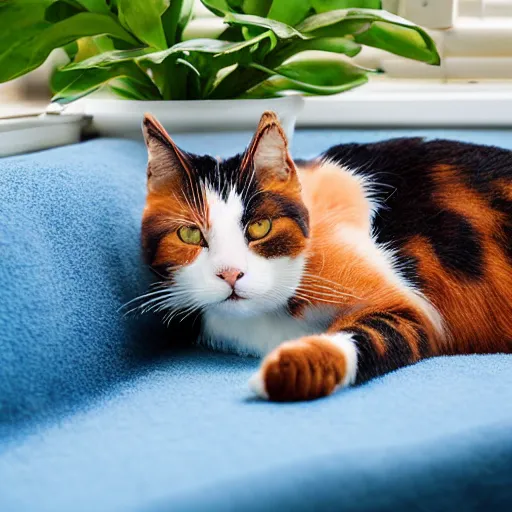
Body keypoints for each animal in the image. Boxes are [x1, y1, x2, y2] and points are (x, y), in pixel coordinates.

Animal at [139, 110, 512, 402]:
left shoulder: (412, 309)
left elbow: (366, 336)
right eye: (189, 234)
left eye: (260, 226)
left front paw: (286, 370)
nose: (230, 273)